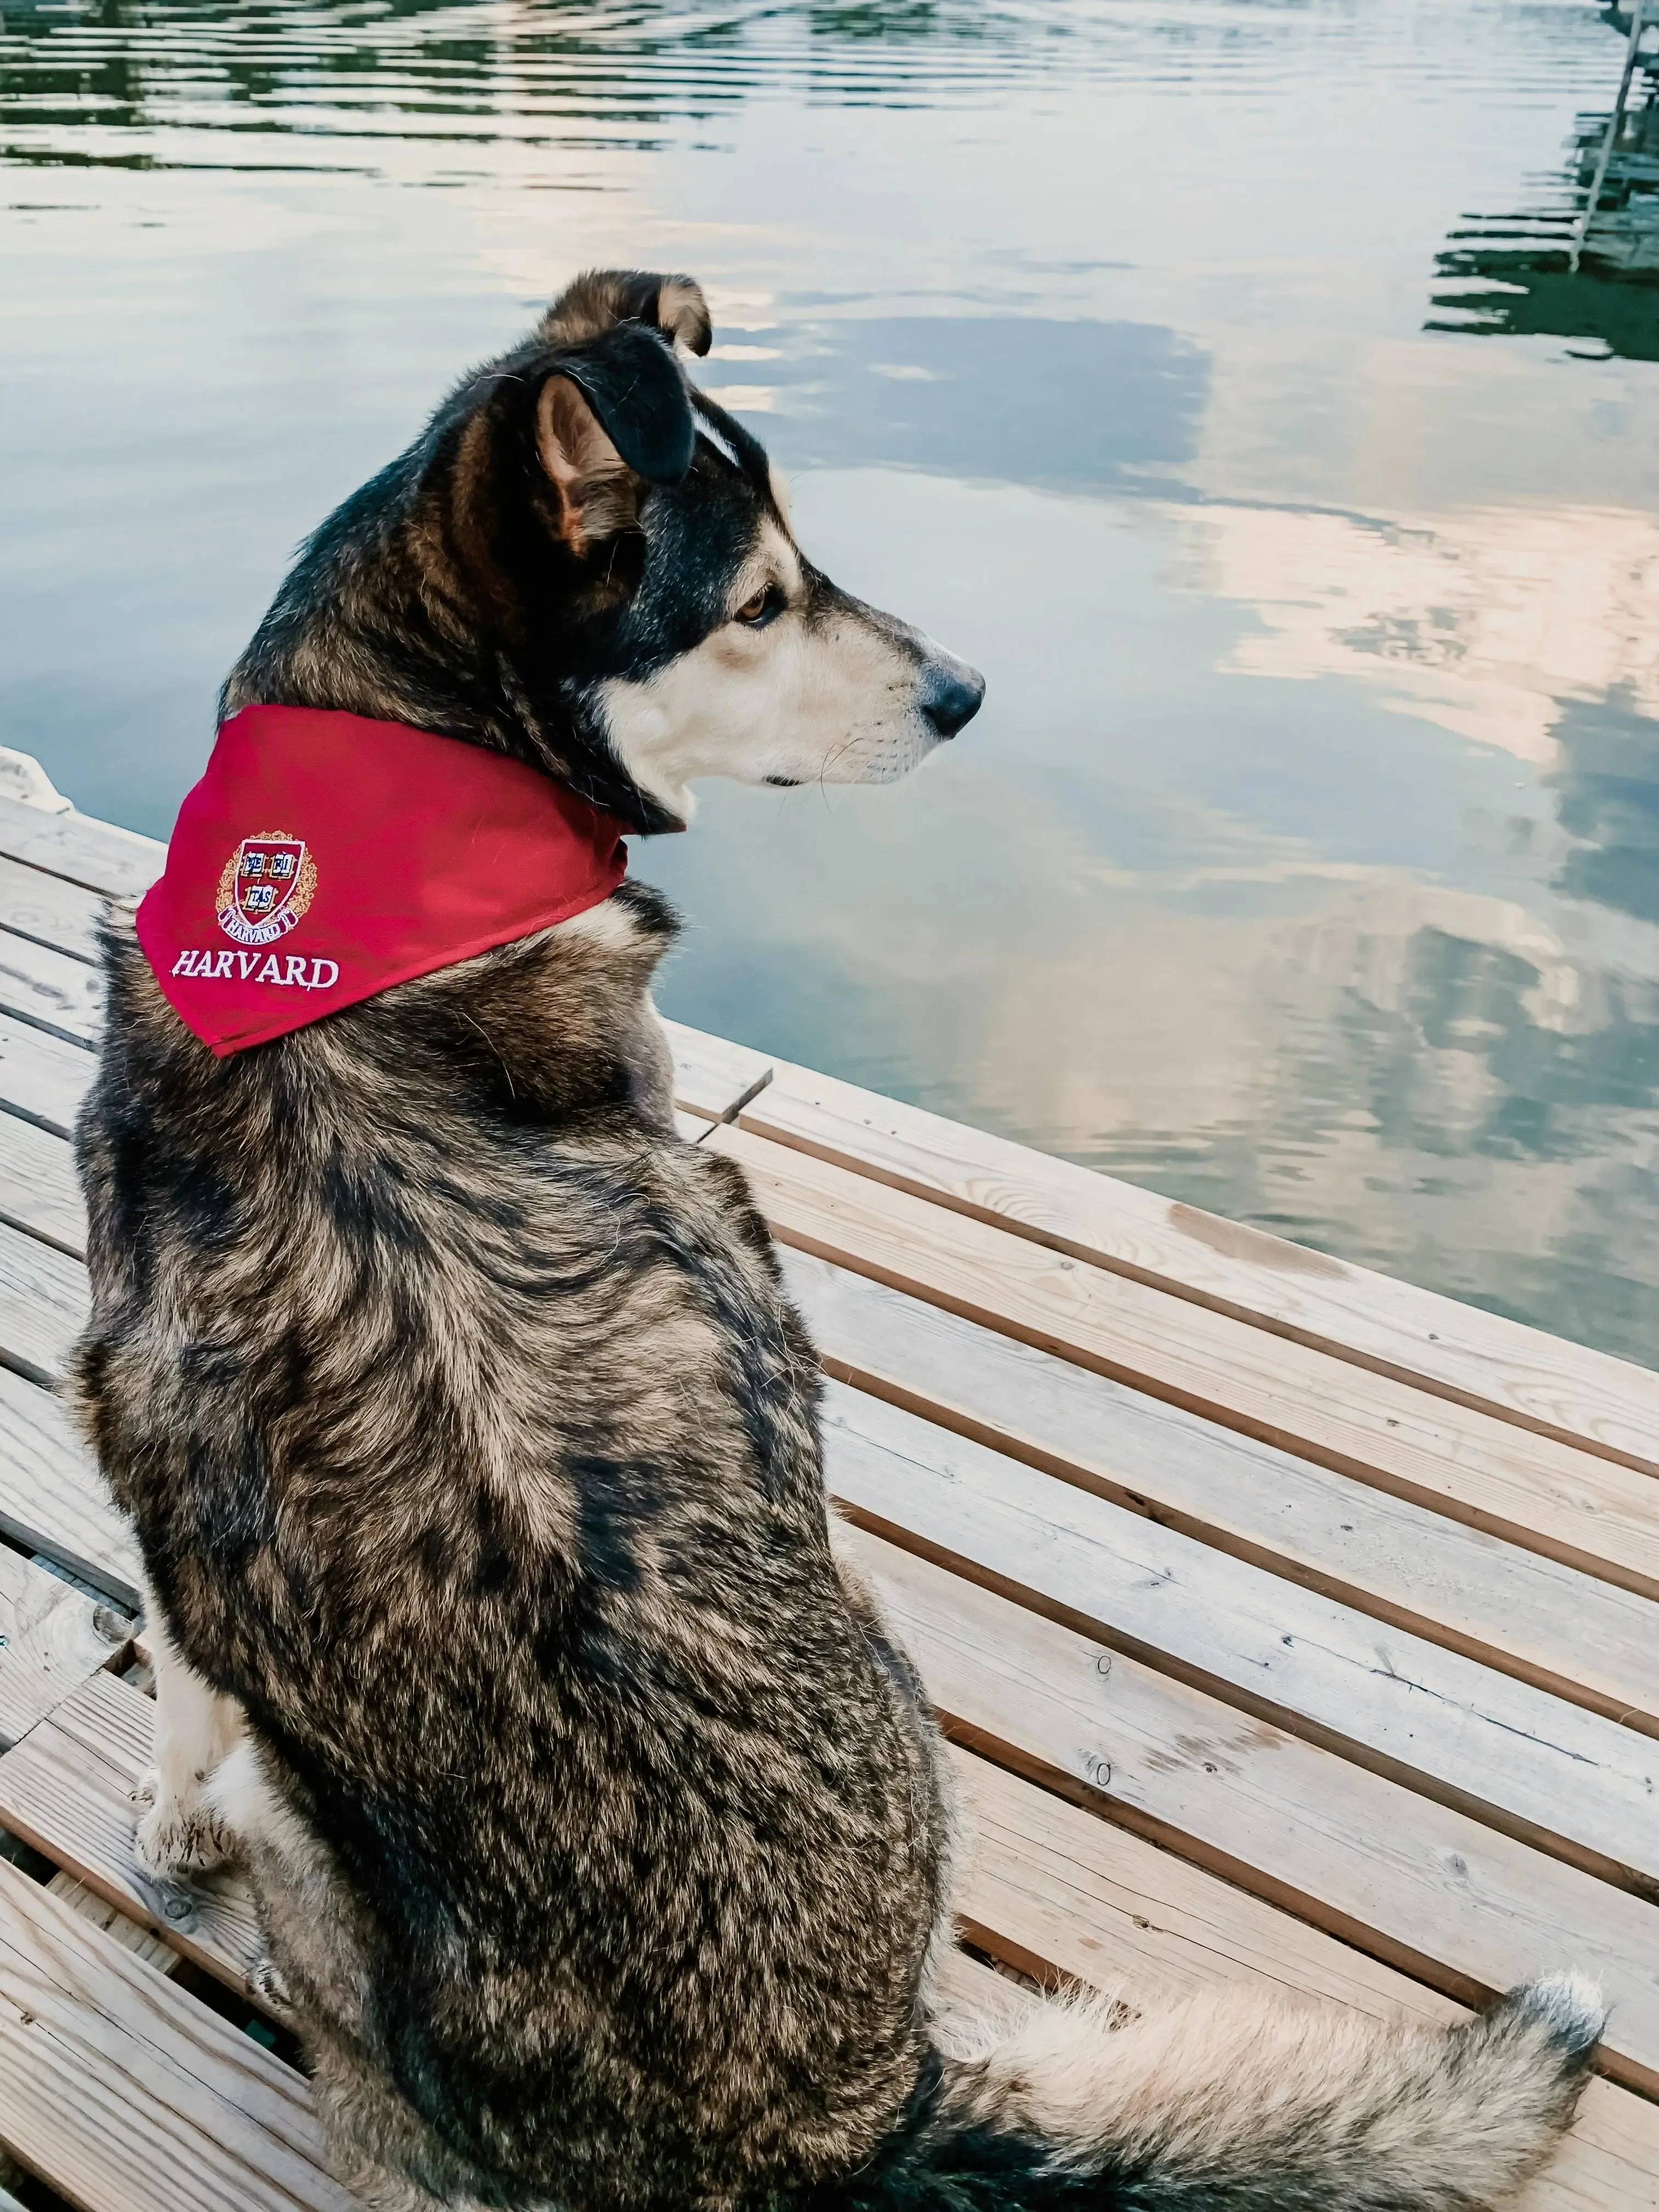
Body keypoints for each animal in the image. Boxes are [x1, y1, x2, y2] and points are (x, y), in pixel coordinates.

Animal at [71, 272, 1601, 2212]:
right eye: (757, 604)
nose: (967, 690)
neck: (380, 840)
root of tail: (845, 2123)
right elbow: (188, 1698)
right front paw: (169, 1816)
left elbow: (183, 1669)